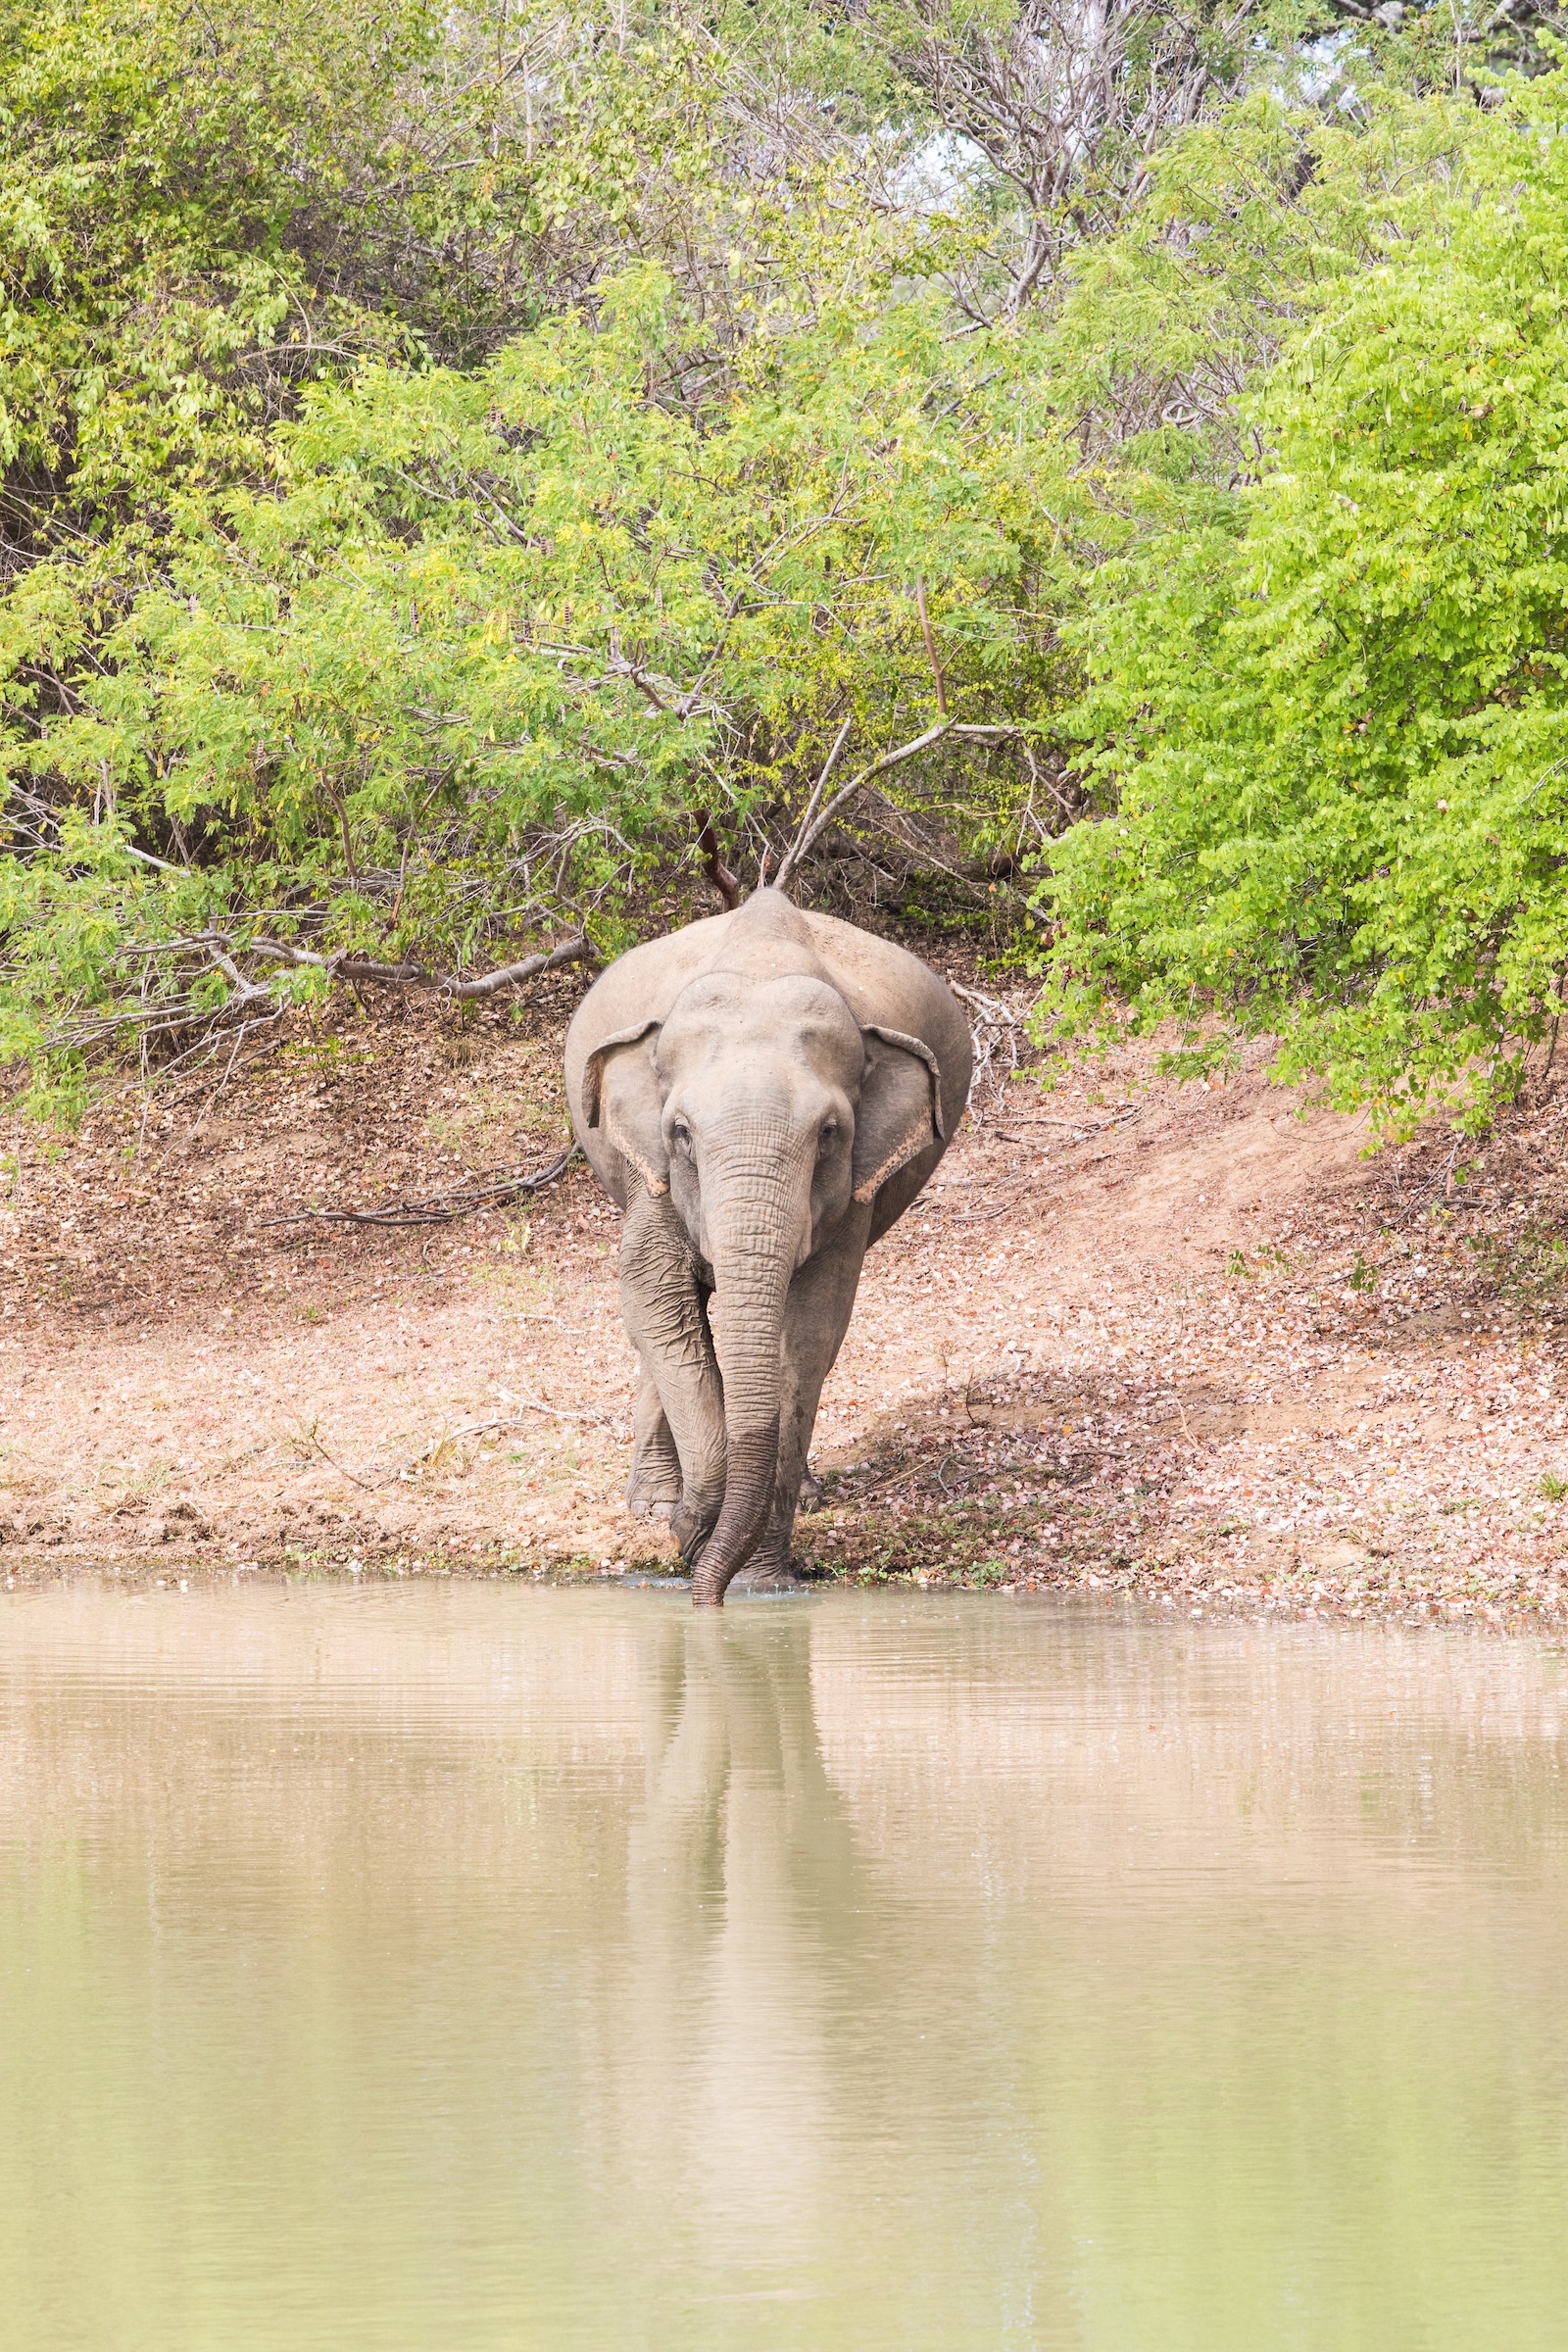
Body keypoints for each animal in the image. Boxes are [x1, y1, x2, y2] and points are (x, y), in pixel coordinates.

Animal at [564, 887, 972, 1606]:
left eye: (830, 1132)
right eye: (680, 1132)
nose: (703, 1588)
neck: (762, 963)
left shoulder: (851, 1197)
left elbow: (810, 1328)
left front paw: (756, 1578)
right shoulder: (652, 1172)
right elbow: (654, 1295)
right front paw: (689, 1522)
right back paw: (651, 1503)